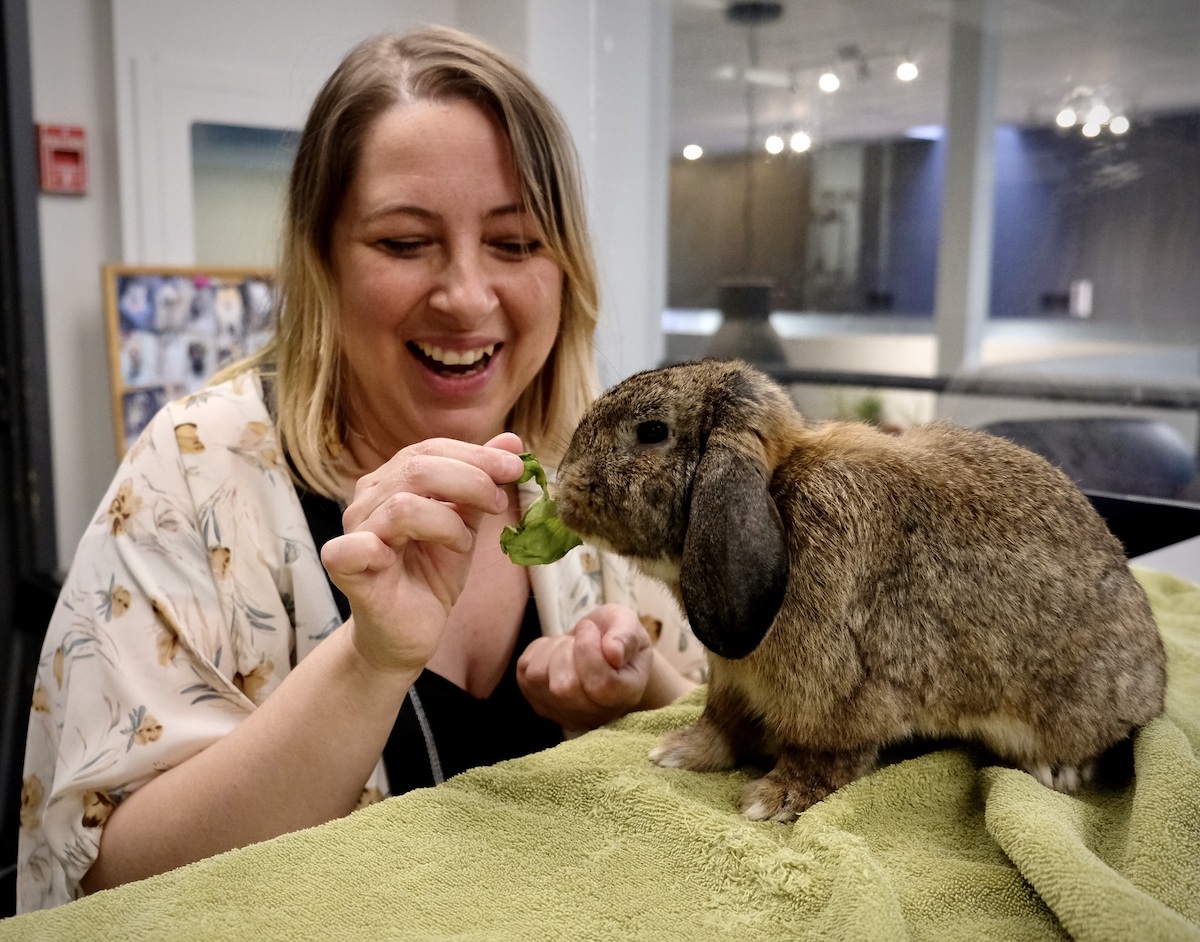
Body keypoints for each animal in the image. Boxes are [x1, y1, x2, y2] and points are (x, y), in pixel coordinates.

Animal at [554, 358, 1167, 822]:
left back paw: (1057, 768)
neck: (779, 500)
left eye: (651, 431)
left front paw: (773, 799)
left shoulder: (832, 697)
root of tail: (1155, 686)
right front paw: (679, 751)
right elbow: (722, 725)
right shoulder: (732, 681)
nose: (563, 490)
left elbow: (824, 757)